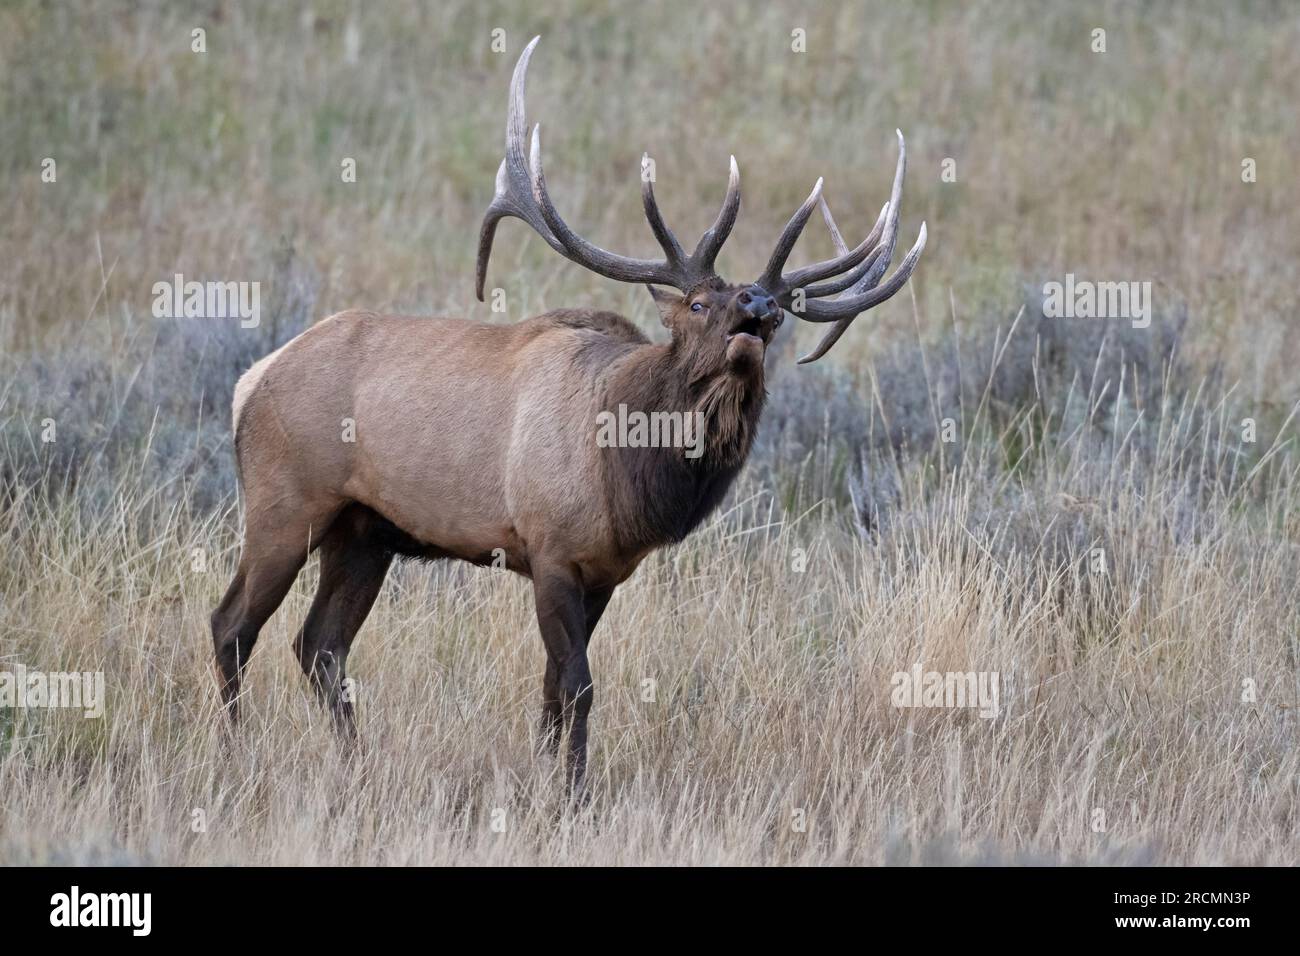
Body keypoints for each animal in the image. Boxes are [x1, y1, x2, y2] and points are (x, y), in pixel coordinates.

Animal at [213, 37, 925, 785]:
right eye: (699, 303)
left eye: (782, 318)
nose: (758, 307)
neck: (626, 475)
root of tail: (250, 381)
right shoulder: (549, 548)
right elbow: (577, 685)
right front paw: (573, 790)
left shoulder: (606, 573)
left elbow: (554, 687)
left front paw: (553, 775)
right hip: (286, 502)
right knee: (234, 625)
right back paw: (236, 749)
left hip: (364, 531)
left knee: (320, 645)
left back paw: (355, 761)